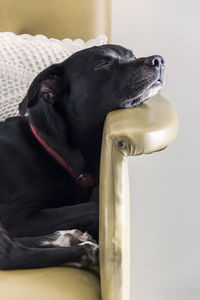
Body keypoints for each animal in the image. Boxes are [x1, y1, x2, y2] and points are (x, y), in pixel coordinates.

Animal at [0, 44, 164, 270]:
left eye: (132, 56)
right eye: (103, 63)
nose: (158, 60)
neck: (51, 150)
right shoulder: (16, 217)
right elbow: (93, 209)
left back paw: (65, 237)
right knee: (12, 253)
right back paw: (84, 251)